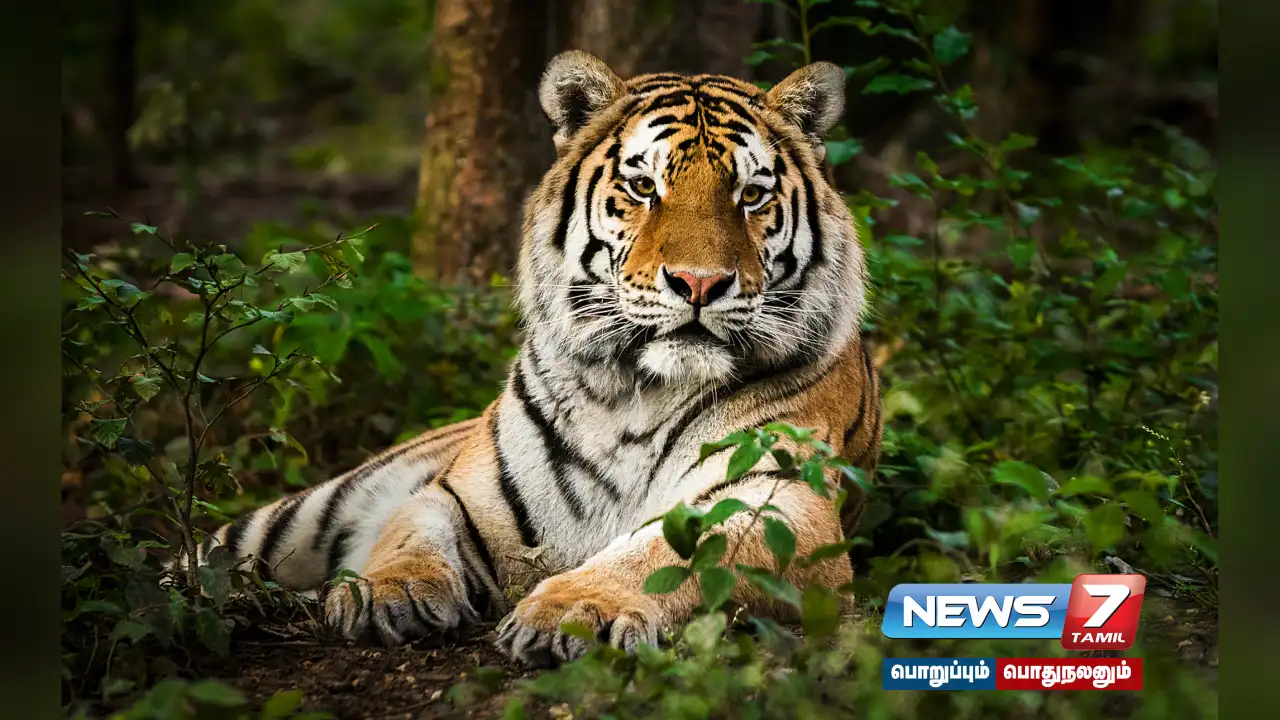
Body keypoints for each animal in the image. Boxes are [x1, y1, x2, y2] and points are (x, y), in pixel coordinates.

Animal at [183, 50, 882, 667]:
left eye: (751, 195)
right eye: (643, 186)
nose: (700, 283)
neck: (636, 391)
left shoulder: (780, 502)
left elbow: (668, 556)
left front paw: (574, 611)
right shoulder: (459, 492)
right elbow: (411, 530)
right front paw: (387, 591)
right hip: (296, 518)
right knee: (198, 556)